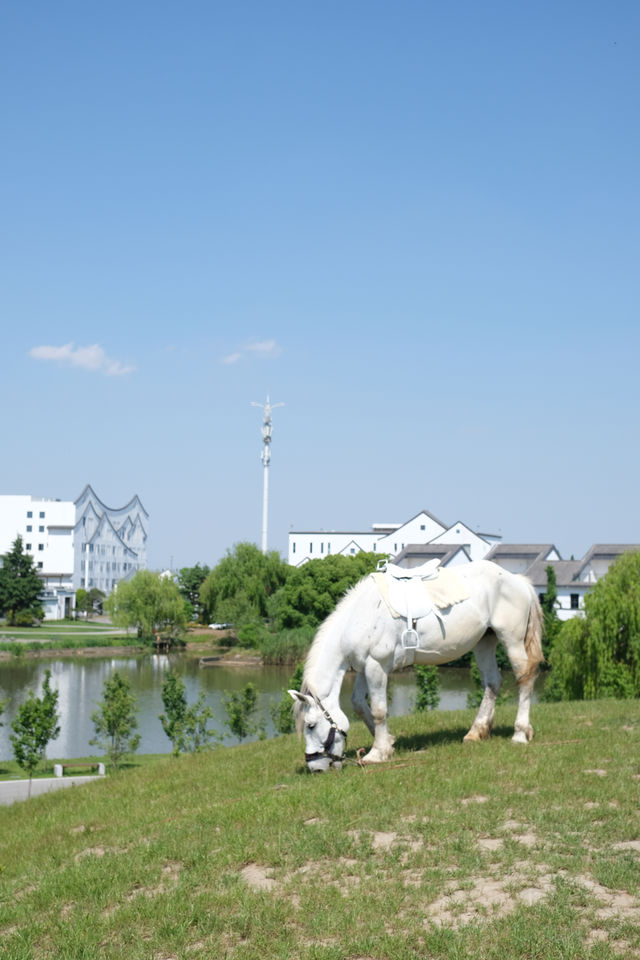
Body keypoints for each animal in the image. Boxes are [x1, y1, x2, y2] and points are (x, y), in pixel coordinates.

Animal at [292, 564, 544, 772]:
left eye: (311, 726)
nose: (316, 768)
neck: (360, 616)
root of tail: (517, 580)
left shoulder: (377, 666)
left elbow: (379, 710)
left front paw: (377, 753)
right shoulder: (365, 667)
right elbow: (359, 705)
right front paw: (389, 742)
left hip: (511, 640)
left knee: (524, 680)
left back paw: (520, 733)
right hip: (484, 642)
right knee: (492, 683)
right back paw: (476, 732)